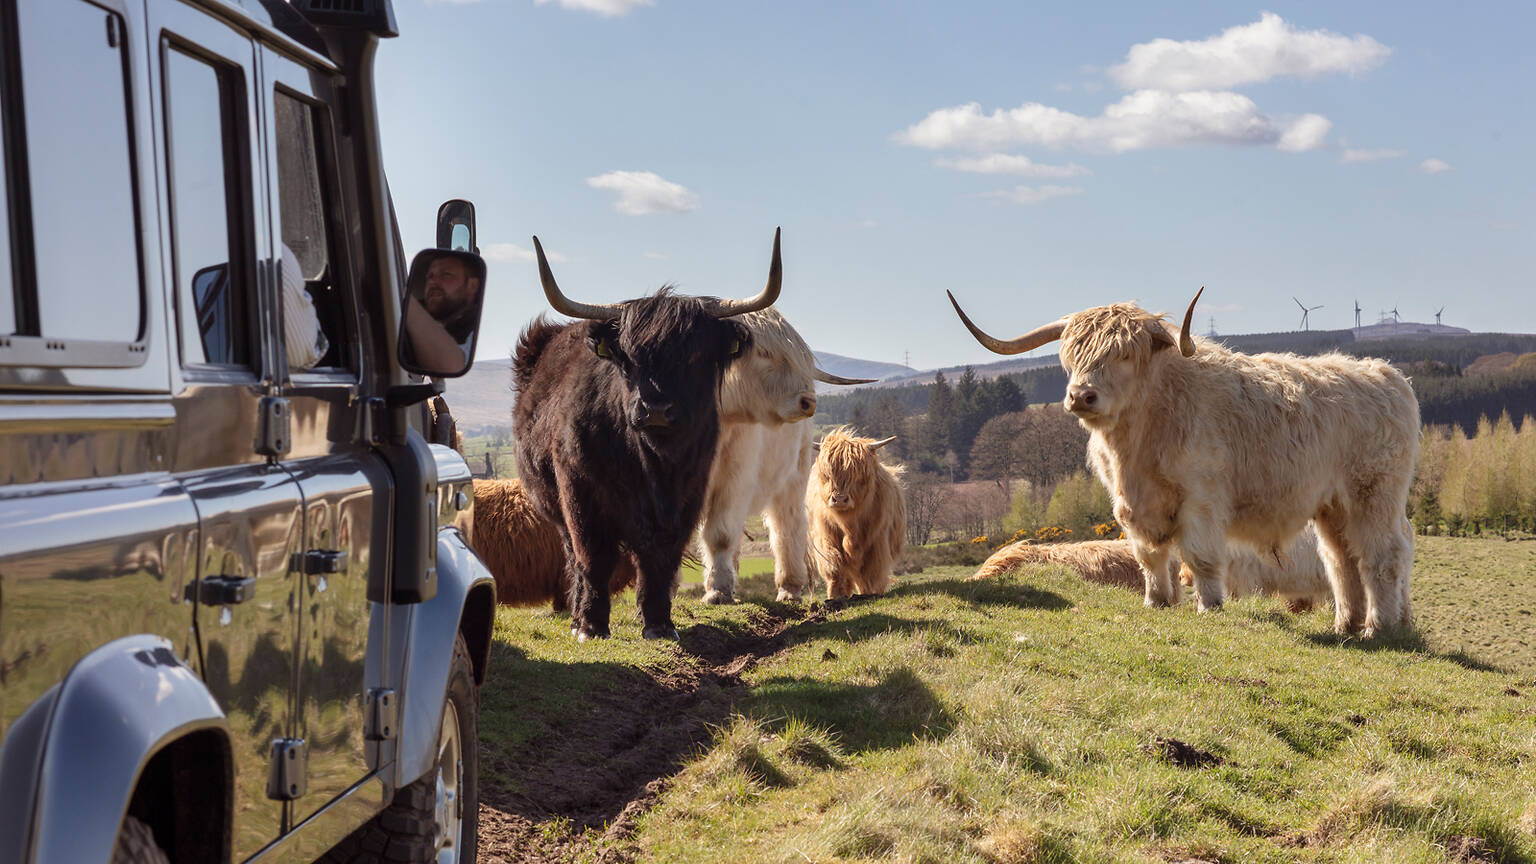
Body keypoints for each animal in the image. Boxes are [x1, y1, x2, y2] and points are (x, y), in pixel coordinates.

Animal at [512, 230, 782, 641]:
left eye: (694, 356)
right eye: (627, 359)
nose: (654, 409)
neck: (653, 462)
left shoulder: (688, 493)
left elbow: (661, 557)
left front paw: (658, 622)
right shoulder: (580, 493)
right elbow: (593, 557)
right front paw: (591, 625)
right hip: (553, 507)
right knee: (574, 558)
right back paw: (576, 616)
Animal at [700, 309, 873, 605]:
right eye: (764, 352)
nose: (808, 402)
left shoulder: (734, 477)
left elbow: (720, 533)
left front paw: (717, 591)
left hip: (792, 478)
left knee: (786, 526)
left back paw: (789, 587)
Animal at [806, 427, 906, 598]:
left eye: (857, 474)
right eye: (827, 474)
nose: (839, 499)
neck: (849, 524)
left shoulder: (877, 540)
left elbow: (872, 571)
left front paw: (871, 592)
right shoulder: (826, 535)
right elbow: (834, 565)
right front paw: (836, 595)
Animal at [947, 288, 1420, 637]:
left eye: (1124, 354)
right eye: (1072, 354)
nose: (1081, 396)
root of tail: (1389, 376)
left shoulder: (1201, 499)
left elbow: (1200, 557)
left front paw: (1208, 606)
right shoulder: (1130, 505)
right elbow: (1150, 556)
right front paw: (1156, 601)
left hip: (1374, 495)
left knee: (1381, 556)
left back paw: (1377, 627)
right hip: (1332, 507)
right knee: (1342, 559)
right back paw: (1346, 625)